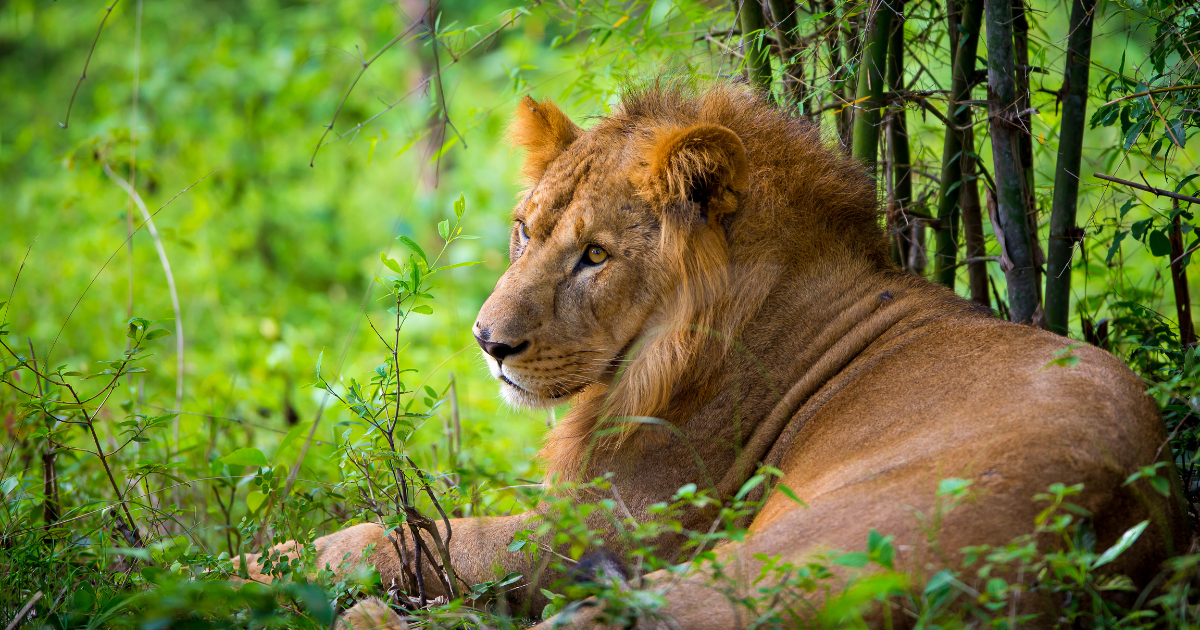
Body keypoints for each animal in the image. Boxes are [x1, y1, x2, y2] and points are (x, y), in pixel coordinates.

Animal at [243, 83, 1187, 628]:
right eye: (524, 231)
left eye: (595, 256)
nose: (488, 343)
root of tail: (1096, 532)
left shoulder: (614, 524)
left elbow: (412, 537)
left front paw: (256, 567)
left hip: (786, 554)